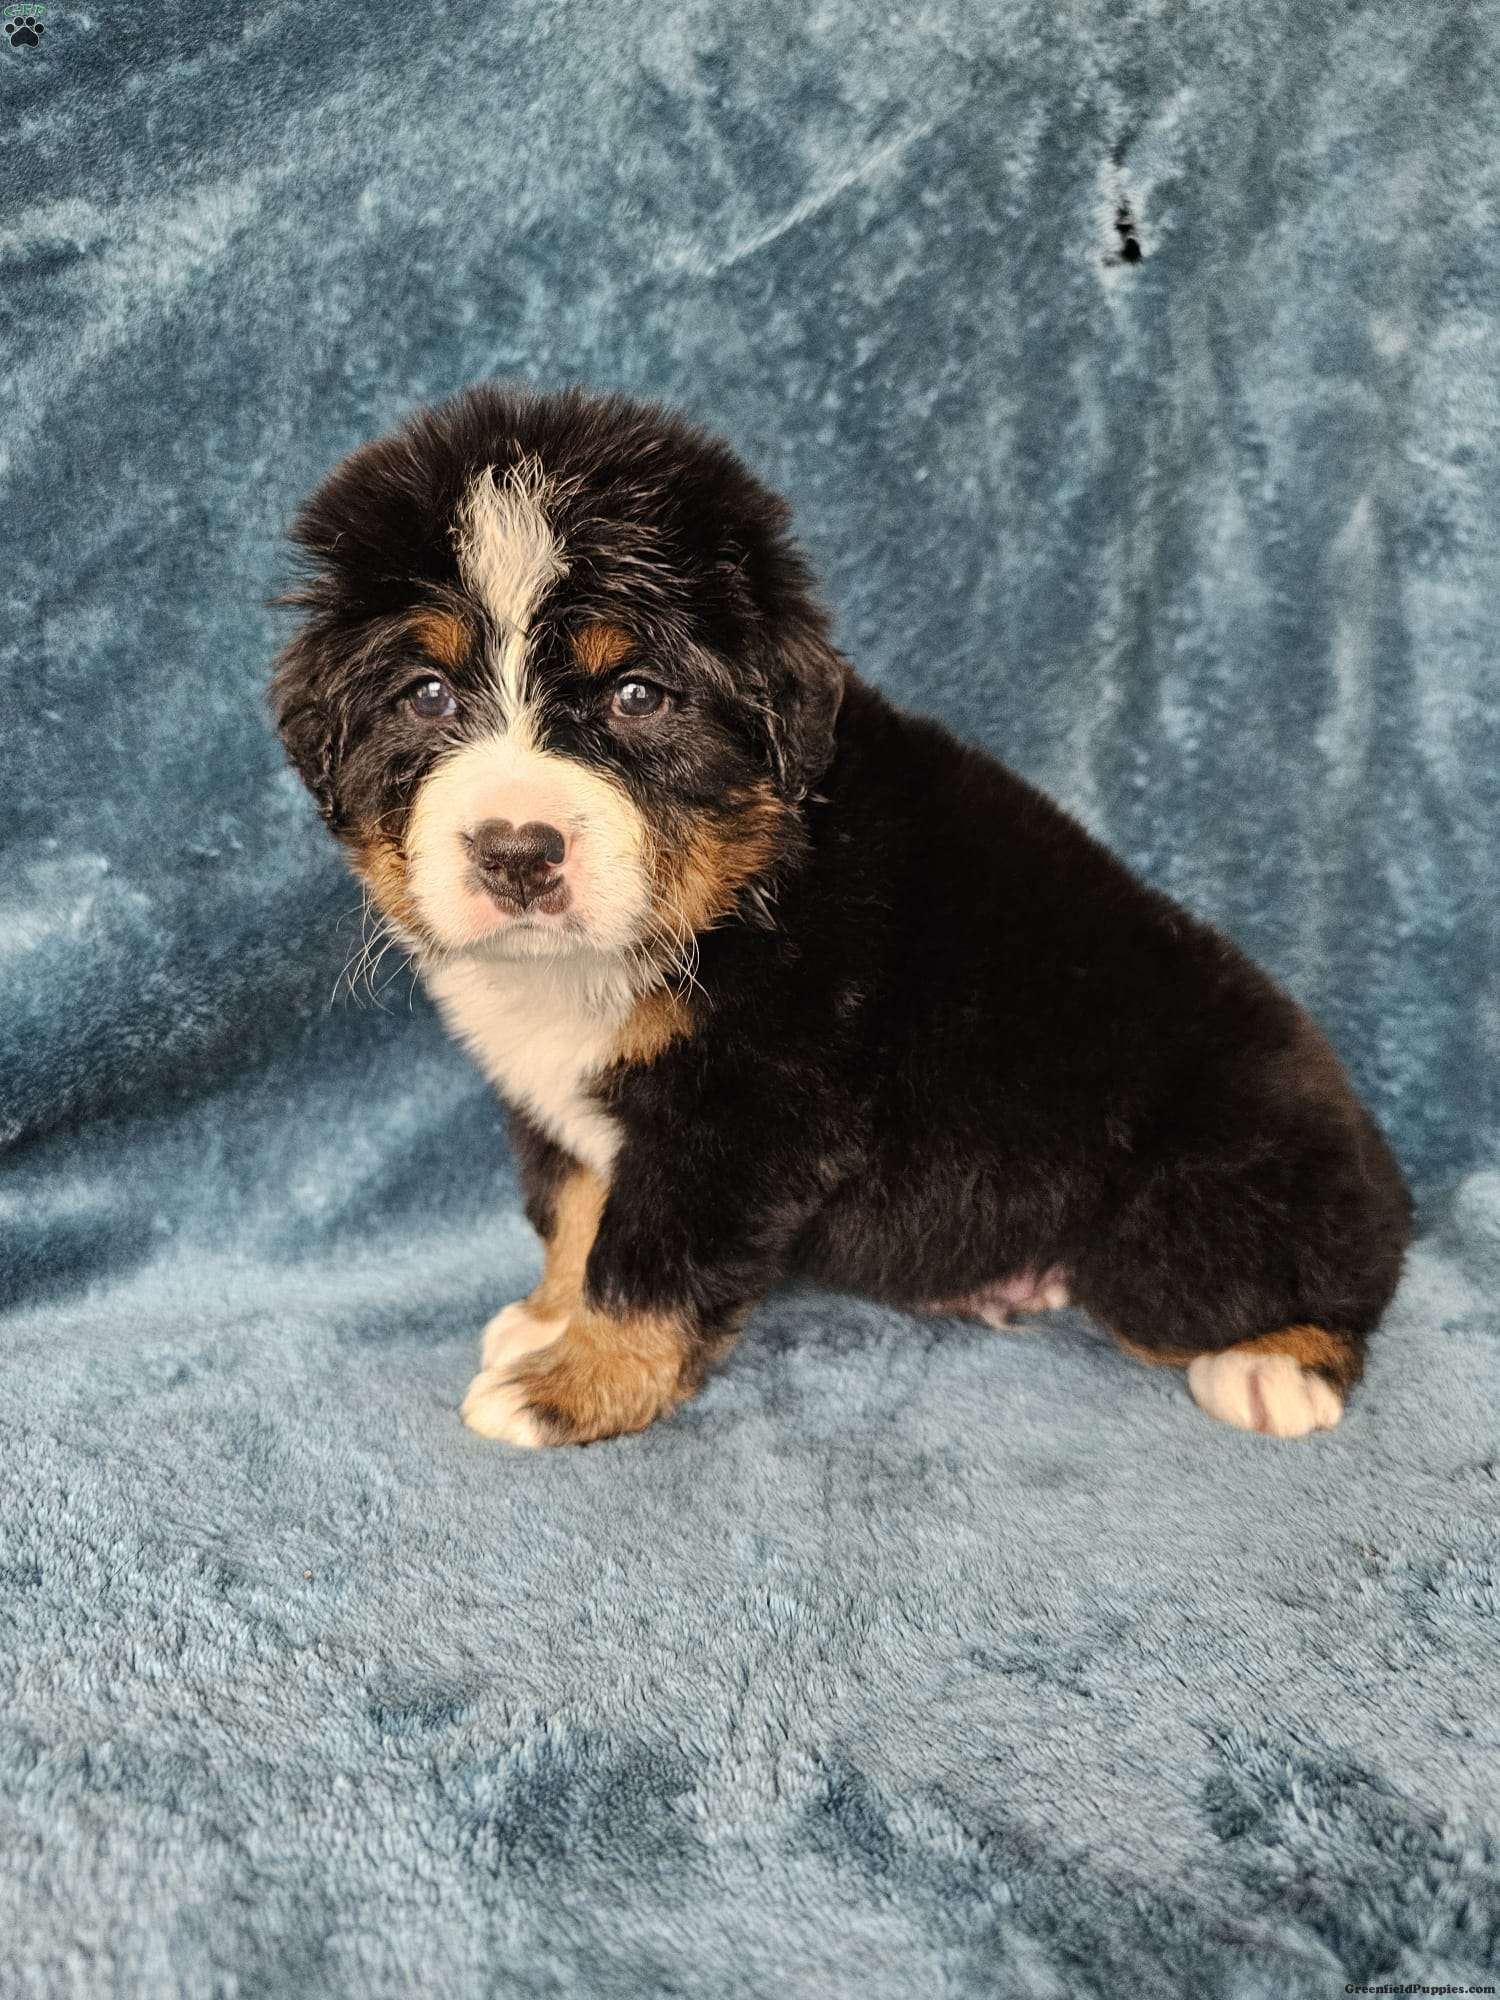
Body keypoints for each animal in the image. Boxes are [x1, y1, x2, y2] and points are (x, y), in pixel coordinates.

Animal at [271, 385, 1412, 1448]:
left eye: (638, 695)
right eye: (426, 694)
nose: (516, 850)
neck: (725, 896)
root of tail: (1371, 1151)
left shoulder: (744, 1112)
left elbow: (647, 1260)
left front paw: (570, 1385)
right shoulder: (570, 1103)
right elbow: (576, 1209)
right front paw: (548, 1318)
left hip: (1179, 1224)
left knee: (1325, 1278)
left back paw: (1279, 1368)